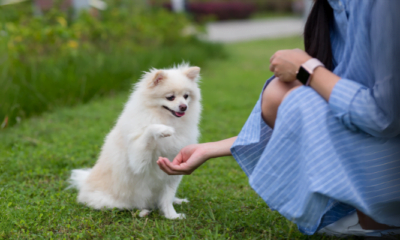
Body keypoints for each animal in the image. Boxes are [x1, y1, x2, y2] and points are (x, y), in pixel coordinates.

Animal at [69, 63, 202, 219]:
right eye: (170, 97)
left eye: (186, 96)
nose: (183, 107)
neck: (166, 118)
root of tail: (84, 183)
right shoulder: (137, 160)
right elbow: (149, 129)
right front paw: (163, 130)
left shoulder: (172, 172)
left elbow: (167, 197)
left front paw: (172, 216)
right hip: (113, 201)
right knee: (125, 207)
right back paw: (142, 211)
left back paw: (177, 200)